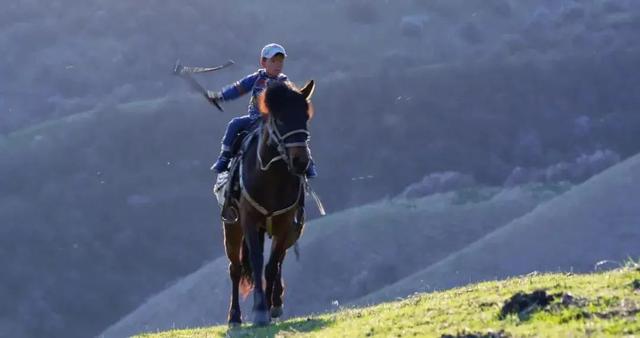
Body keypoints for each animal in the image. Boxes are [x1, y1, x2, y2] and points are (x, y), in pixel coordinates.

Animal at [224, 80, 316, 328]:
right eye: (281, 119)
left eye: (306, 116)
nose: (301, 161)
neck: (271, 175)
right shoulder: (248, 220)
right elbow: (257, 262)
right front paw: (258, 310)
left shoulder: (285, 223)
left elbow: (272, 265)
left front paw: (268, 306)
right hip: (232, 227)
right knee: (235, 268)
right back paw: (234, 317)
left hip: (289, 229)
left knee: (280, 259)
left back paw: (275, 302)